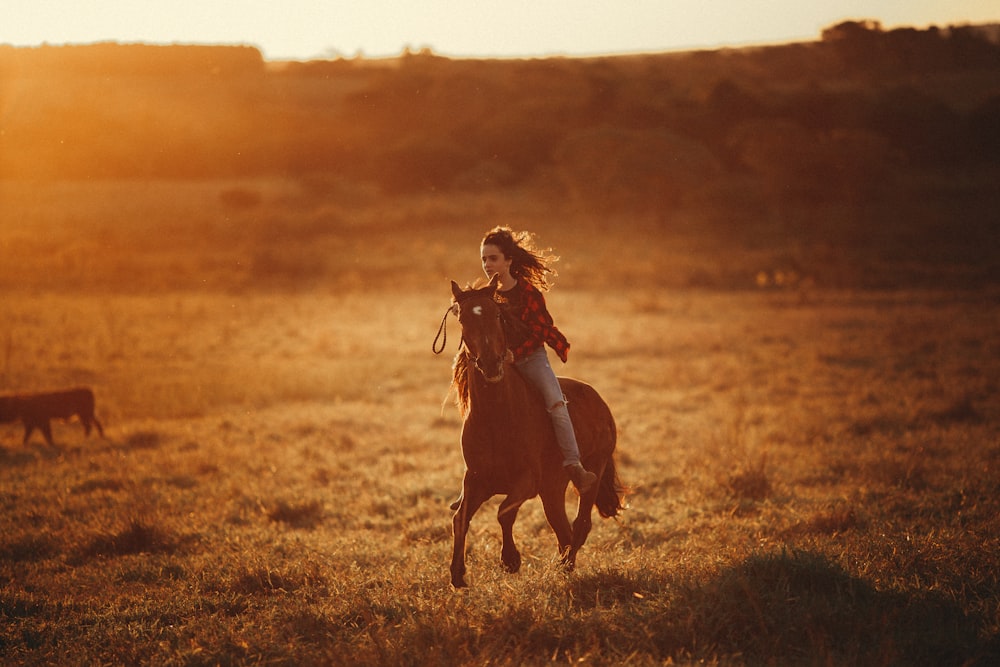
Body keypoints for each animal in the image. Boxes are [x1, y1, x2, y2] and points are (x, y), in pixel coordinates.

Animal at [448, 276, 620, 588]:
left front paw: (510, 560)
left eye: (497, 315)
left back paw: (565, 569)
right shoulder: (476, 480)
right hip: (552, 489)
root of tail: (599, 401)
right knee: (563, 531)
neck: (496, 418)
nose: (491, 364)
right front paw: (457, 574)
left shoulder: (526, 482)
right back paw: (563, 567)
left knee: (580, 525)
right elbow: (460, 519)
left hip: (592, 469)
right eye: (464, 318)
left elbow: (504, 512)